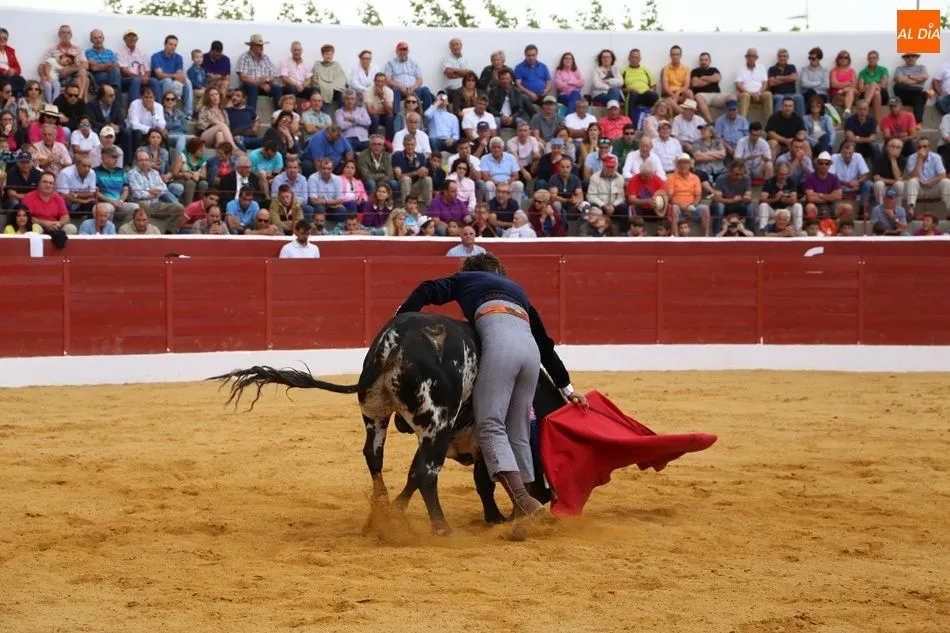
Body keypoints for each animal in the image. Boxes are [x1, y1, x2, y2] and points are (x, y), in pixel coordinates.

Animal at [210, 311, 567, 537]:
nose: (548, 497)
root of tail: (394, 341)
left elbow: (414, 474)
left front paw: (395, 512)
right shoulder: (466, 436)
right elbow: (484, 480)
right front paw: (495, 518)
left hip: (378, 414)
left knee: (376, 458)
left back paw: (379, 517)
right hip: (437, 422)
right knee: (427, 474)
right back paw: (441, 528)